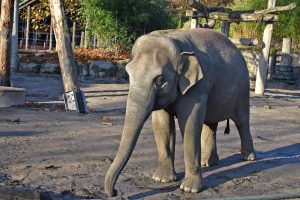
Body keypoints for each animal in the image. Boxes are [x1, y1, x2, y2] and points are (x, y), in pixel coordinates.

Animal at [103, 28, 255, 197]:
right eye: (129, 74)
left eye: (160, 80)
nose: (115, 192)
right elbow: (162, 125)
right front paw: (162, 179)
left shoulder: (198, 86)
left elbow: (189, 124)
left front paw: (189, 189)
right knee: (211, 124)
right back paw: (208, 163)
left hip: (242, 88)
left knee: (242, 121)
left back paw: (247, 158)